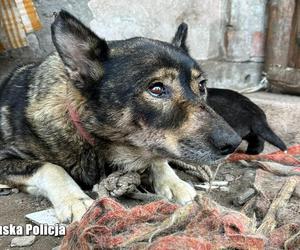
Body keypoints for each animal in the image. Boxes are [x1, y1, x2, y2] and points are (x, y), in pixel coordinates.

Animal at [0, 11, 241, 223]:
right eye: (156, 89)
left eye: (201, 85)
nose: (234, 143)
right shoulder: (5, 158)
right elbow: (50, 167)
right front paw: (75, 199)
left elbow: (158, 157)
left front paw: (174, 183)